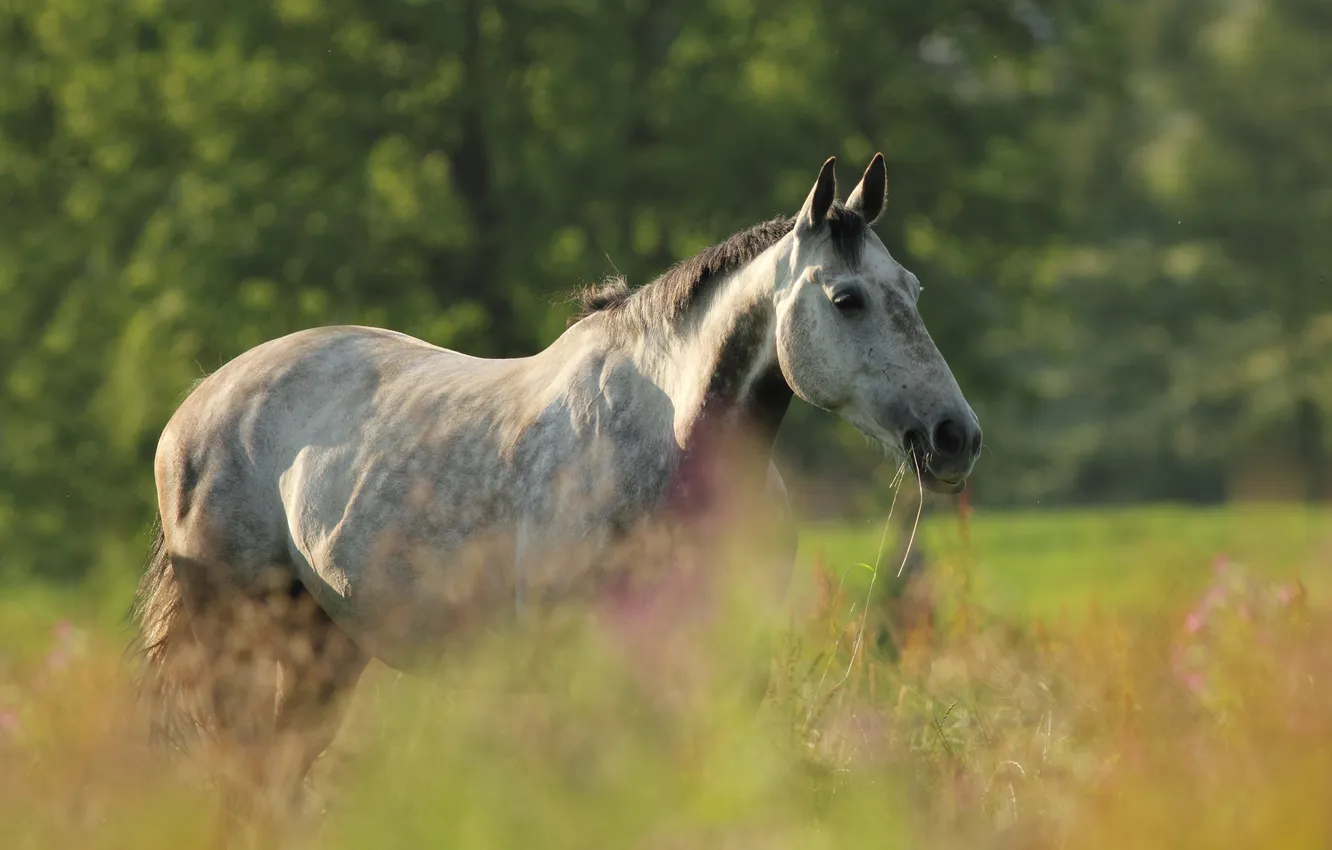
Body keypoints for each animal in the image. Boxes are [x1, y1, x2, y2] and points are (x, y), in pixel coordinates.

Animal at [130, 152, 982, 809]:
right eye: (847, 298)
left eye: (913, 290)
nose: (955, 436)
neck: (669, 446)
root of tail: (195, 408)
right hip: (238, 643)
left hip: (325, 646)